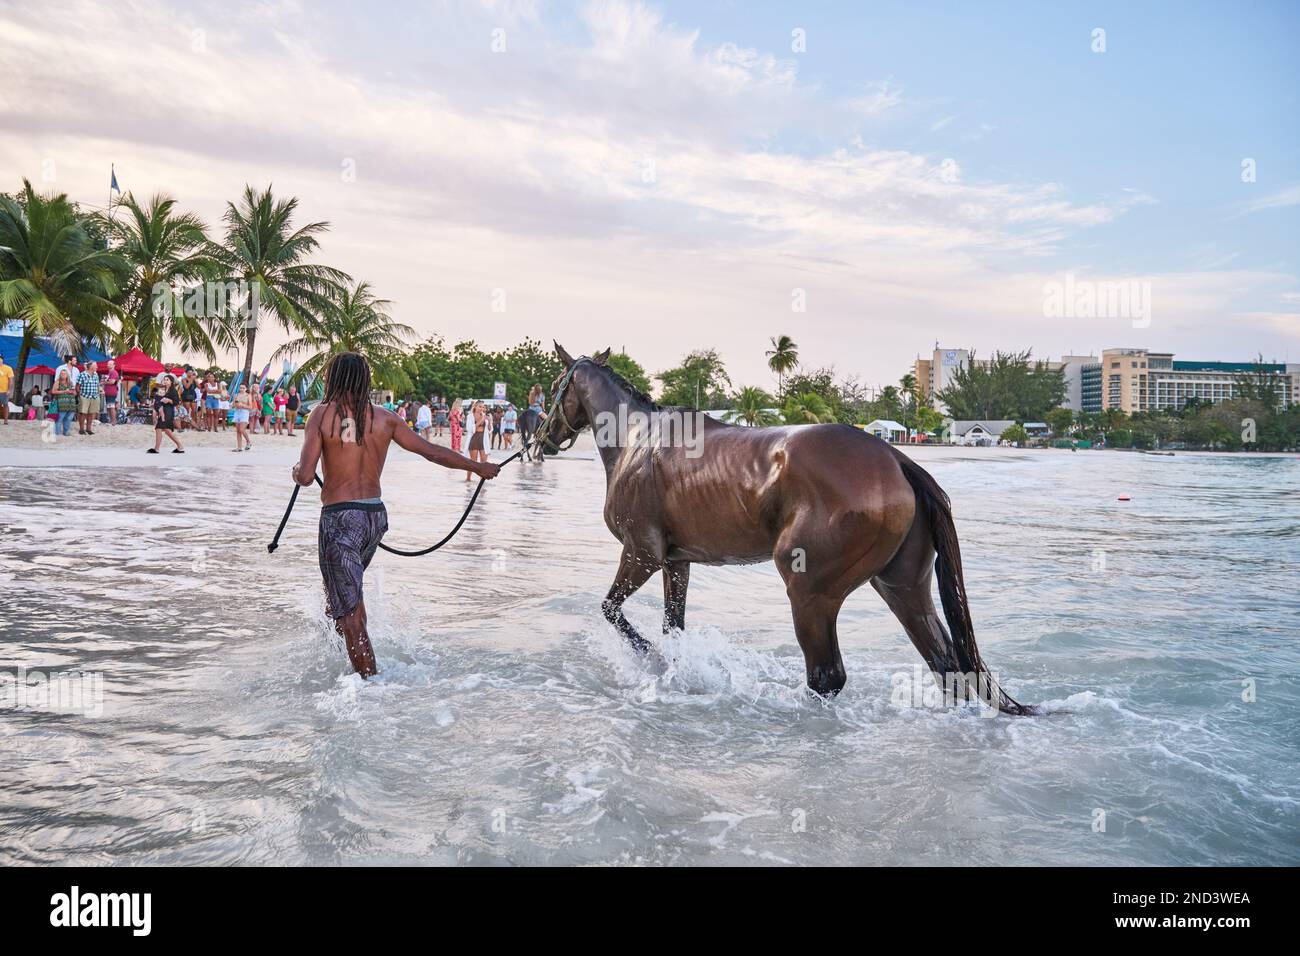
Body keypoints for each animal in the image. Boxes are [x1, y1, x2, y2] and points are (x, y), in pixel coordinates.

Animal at [535, 348, 1034, 712]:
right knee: (947, 666)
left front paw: (654, 661)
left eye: (554, 387)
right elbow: (672, 627)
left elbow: (612, 612)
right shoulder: (677, 563)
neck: (638, 441)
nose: (543, 437)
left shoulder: (641, 555)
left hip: (811, 591)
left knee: (827, 675)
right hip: (901, 586)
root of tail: (896, 459)